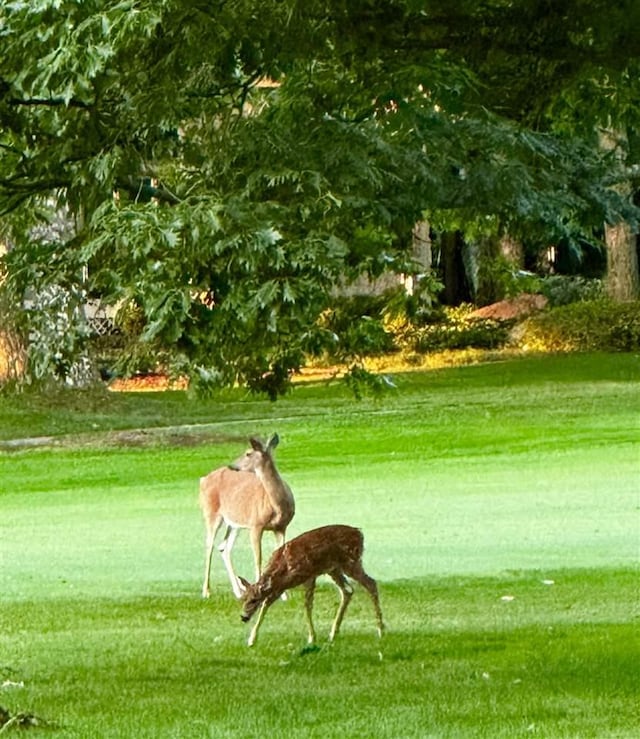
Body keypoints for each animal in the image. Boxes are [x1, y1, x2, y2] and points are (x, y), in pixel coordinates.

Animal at [199, 436, 294, 600]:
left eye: (248, 453)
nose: (232, 465)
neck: (277, 505)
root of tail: (203, 480)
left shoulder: (281, 527)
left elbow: (281, 555)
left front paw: (284, 595)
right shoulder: (256, 524)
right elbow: (258, 558)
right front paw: (259, 591)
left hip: (234, 523)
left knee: (224, 547)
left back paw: (238, 591)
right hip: (211, 512)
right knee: (209, 545)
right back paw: (206, 592)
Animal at [238, 528, 382, 648]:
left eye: (254, 600)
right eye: (243, 599)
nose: (243, 617)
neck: (284, 568)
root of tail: (360, 534)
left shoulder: (309, 575)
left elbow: (307, 606)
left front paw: (312, 638)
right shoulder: (281, 586)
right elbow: (267, 603)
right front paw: (252, 640)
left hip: (350, 562)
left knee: (371, 583)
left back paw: (381, 630)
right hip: (334, 569)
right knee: (347, 591)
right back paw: (333, 634)